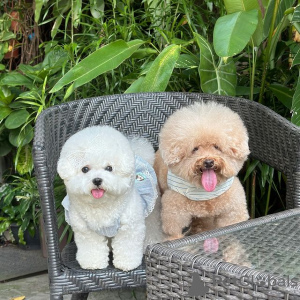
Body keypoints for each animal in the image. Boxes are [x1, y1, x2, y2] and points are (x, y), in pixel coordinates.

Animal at [57, 125, 163, 270]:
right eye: (85, 169)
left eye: (109, 168)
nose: (97, 180)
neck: (101, 205)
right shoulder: (87, 231)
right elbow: (92, 247)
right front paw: (93, 263)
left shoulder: (130, 226)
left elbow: (127, 245)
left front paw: (126, 263)